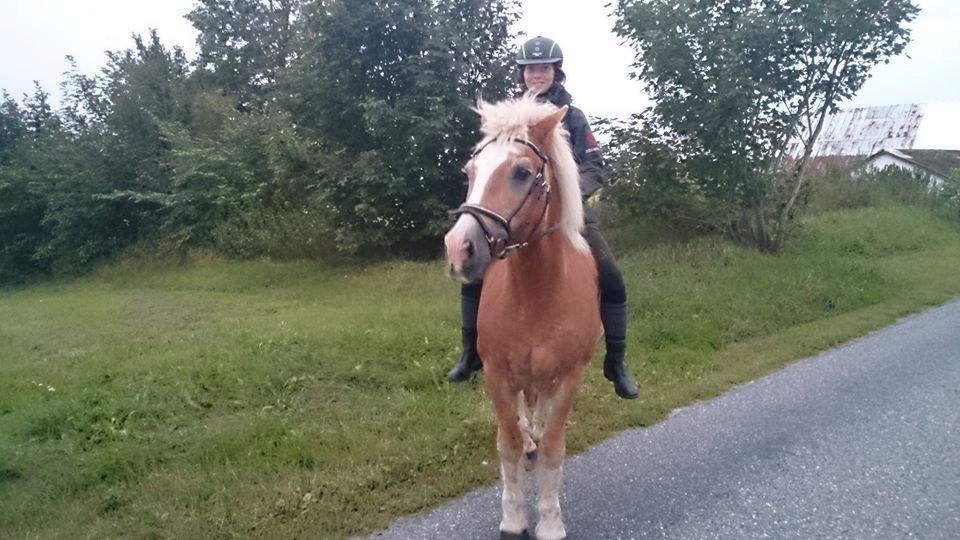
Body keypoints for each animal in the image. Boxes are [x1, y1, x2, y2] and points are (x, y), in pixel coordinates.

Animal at [444, 95, 600, 536]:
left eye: (521, 172)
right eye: (470, 172)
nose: (458, 247)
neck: (535, 293)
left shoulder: (568, 378)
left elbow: (553, 447)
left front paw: (549, 522)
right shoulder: (497, 376)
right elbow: (509, 444)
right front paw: (513, 519)